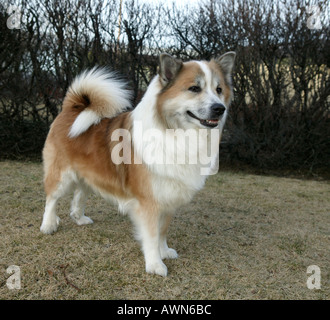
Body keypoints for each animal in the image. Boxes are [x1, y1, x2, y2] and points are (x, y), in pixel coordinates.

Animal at [40, 52, 236, 276]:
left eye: (219, 89)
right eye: (194, 88)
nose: (219, 108)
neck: (176, 133)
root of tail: (73, 108)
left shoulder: (168, 196)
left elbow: (162, 231)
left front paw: (164, 251)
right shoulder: (148, 202)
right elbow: (151, 235)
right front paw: (155, 264)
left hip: (87, 174)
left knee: (80, 193)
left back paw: (79, 218)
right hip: (61, 174)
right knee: (52, 198)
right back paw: (48, 225)